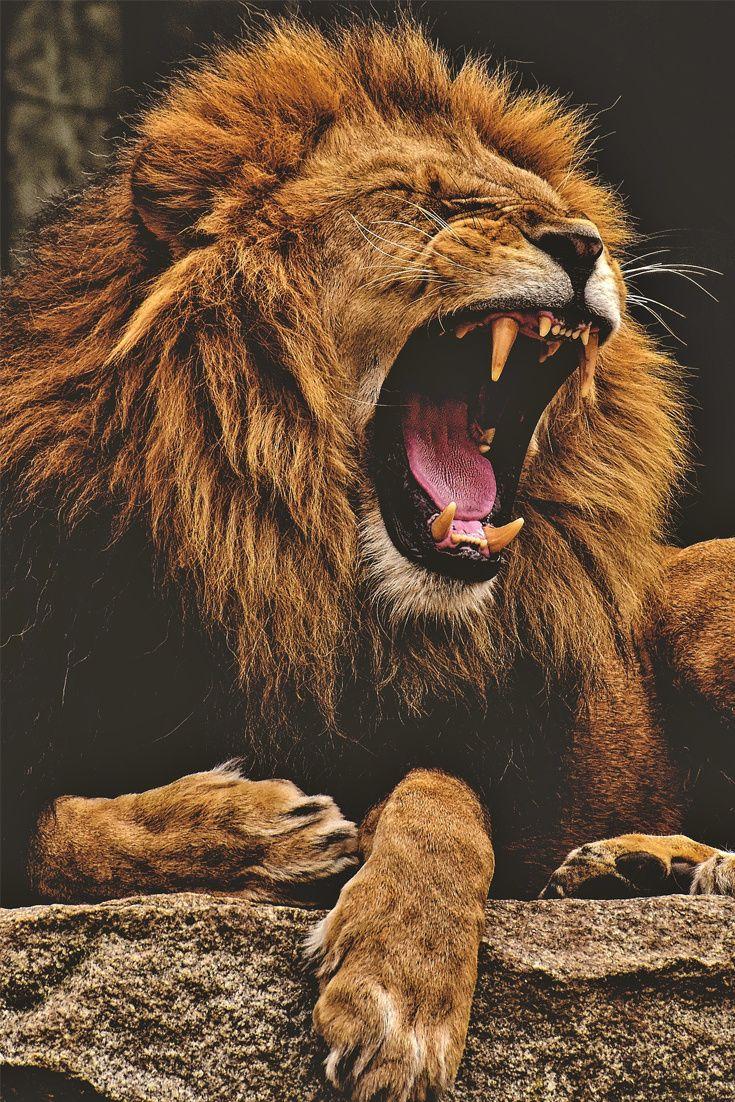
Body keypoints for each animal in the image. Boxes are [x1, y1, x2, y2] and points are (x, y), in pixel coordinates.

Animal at [2, 17, 733, 1102]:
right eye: (426, 198)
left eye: (559, 211)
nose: (582, 244)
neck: (295, 577)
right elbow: (60, 834)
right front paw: (257, 829)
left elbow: (440, 794)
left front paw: (398, 996)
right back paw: (631, 867)